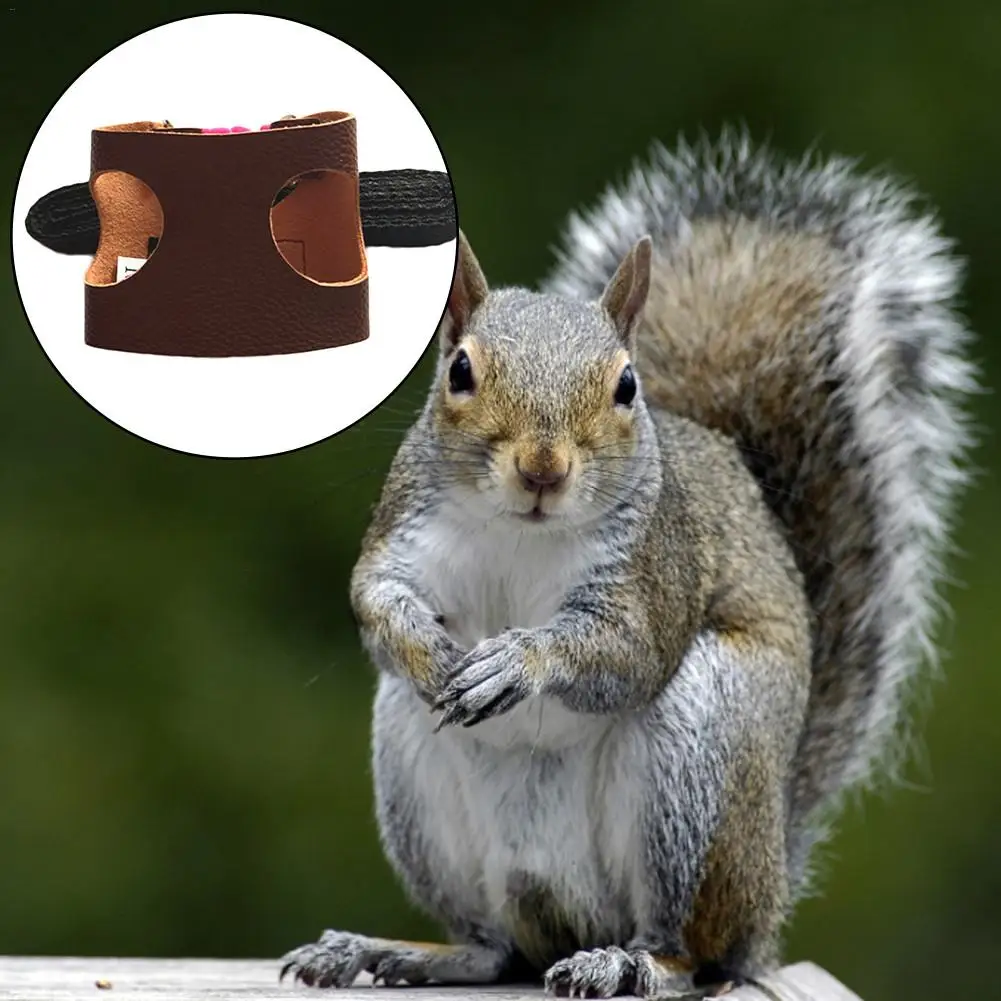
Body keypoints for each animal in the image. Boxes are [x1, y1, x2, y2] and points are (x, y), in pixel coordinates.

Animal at [279, 130, 976, 997]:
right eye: (459, 370)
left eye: (625, 384)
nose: (542, 468)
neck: (522, 530)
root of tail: (770, 891)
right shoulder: (406, 529)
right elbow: (376, 594)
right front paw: (429, 649)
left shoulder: (654, 568)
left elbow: (628, 649)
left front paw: (517, 660)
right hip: (415, 774)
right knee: (492, 947)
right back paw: (388, 950)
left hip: (701, 755)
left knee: (692, 950)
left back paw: (629, 960)